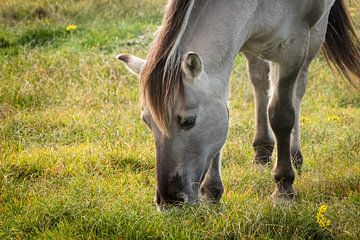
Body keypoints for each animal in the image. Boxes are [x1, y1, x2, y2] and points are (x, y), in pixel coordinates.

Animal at [116, 0, 358, 209]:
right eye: (147, 122)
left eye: (188, 121)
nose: (169, 201)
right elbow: (225, 112)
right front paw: (211, 192)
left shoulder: (294, 47)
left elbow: (281, 115)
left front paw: (283, 189)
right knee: (260, 80)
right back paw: (262, 150)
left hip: (312, 36)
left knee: (297, 90)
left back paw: (294, 155)